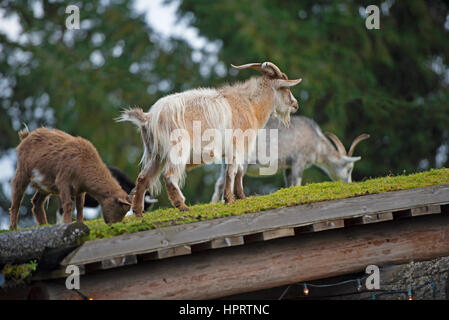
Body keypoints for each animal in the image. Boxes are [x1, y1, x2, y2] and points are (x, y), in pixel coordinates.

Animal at [119, 61, 300, 214]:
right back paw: (182, 206)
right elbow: (233, 171)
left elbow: (236, 170)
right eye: (285, 89)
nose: (295, 105)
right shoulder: (238, 144)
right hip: (178, 147)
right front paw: (230, 199)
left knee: (143, 178)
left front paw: (240, 197)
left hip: (155, 154)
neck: (249, 104)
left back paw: (138, 213)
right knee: (169, 176)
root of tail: (149, 117)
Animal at [210, 115, 368, 202]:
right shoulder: (299, 160)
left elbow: (289, 183)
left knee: (220, 182)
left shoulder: (288, 166)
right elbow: (296, 182)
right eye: (349, 169)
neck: (316, 140)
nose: (348, 183)